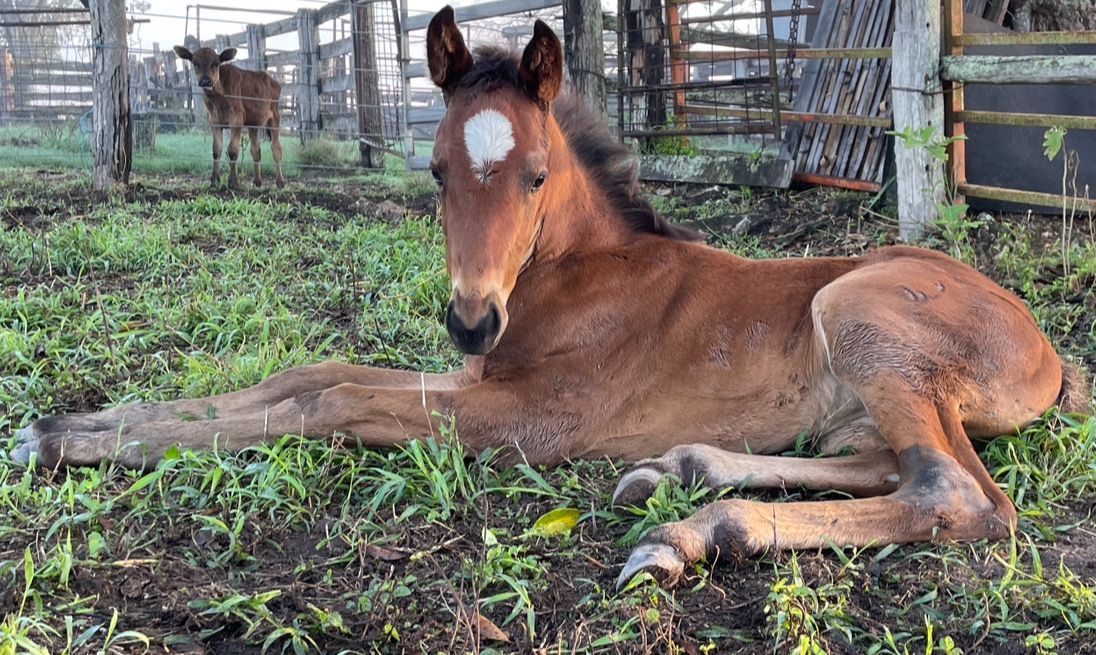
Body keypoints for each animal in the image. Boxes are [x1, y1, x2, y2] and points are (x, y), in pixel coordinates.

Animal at [173, 45, 286, 189]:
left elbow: (232, 150)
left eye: (216, 64)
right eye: (195, 63)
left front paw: (233, 182)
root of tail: (273, 80)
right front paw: (214, 181)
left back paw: (280, 182)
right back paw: (257, 181)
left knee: (276, 148)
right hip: (253, 123)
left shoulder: (236, 120)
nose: (205, 80)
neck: (218, 99)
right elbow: (216, 150)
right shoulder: (214, 122)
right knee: (256, 150)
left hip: (275, 118)